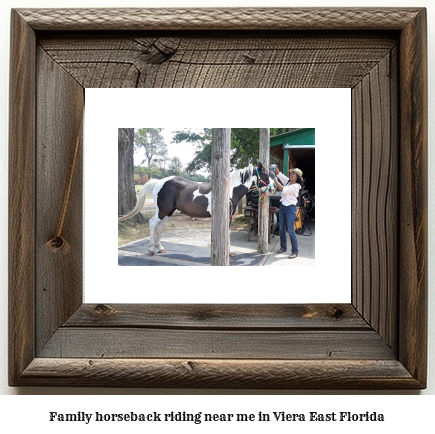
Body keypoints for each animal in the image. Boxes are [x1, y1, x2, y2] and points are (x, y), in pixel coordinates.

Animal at [119, 164, 276, 256]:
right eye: (267, 175)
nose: (273, 189)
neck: (229, 189)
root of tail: (159, 181)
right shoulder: (227, 216)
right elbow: (228, 233)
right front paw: (230, 252)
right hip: (162, 211)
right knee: (152, 224)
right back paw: (151, 250)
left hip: (168, 212)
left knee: (159, 227)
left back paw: (160, 248)